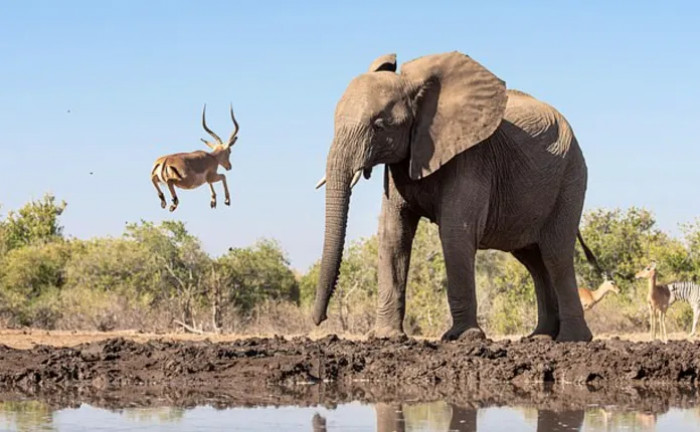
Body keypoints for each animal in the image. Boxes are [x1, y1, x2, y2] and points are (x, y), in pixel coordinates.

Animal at [312, 51, 598, 342]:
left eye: (380, 125)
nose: (319, 320)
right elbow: (393, 234)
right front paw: (386, 336)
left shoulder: (471, 157)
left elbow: (455, 233)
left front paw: (463, 337)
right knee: (534, 261)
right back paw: (540, 337)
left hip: (571, 178)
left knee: (555, 255)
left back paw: (572, 339)